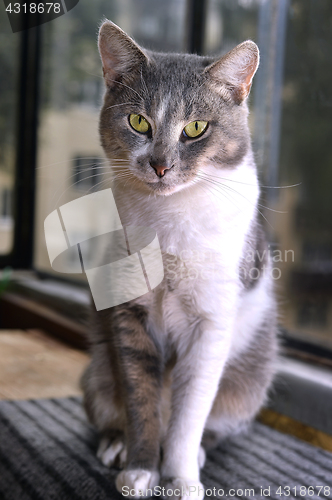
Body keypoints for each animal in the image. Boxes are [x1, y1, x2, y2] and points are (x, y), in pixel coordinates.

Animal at [80, 19, 278, 500]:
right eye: (138, 121)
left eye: (196, 128)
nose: (160, 165)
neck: (169, 217)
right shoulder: (130, 316)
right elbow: (141, 401)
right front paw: (139, 470)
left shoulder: (210, 325)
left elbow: (189, 416)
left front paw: (181, 478)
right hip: (97, 371)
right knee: (111, 406)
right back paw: (115, 444)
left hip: (249, 380)